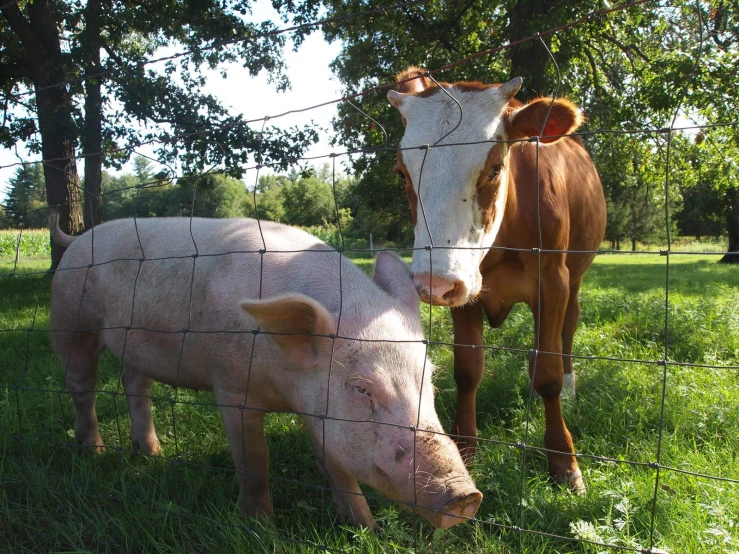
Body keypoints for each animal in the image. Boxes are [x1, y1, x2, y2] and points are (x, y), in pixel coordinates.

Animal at [49, 213, 482, 528]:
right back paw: (93, 451)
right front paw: (259, 527)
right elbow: (255, 459)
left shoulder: (319, 409)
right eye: (362, 389)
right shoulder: (231, 387)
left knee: (134, 383)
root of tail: (77, 239)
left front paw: (366, 529)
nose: (465, 496)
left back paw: (151, 453)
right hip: (71, 319)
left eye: (429, 380)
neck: (284, 387)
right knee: (81, 386)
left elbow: (337, 467)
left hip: (137, 346)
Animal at [388, 66, 608, 492]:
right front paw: (465, 449)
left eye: (494, 169)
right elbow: (467, 369)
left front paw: (564, 462)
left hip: (575, 278)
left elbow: (547, 375)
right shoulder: (461, 287)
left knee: (568, 330)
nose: (430, 282)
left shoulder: (552, 283)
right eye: (402, 174)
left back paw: (571, 384)